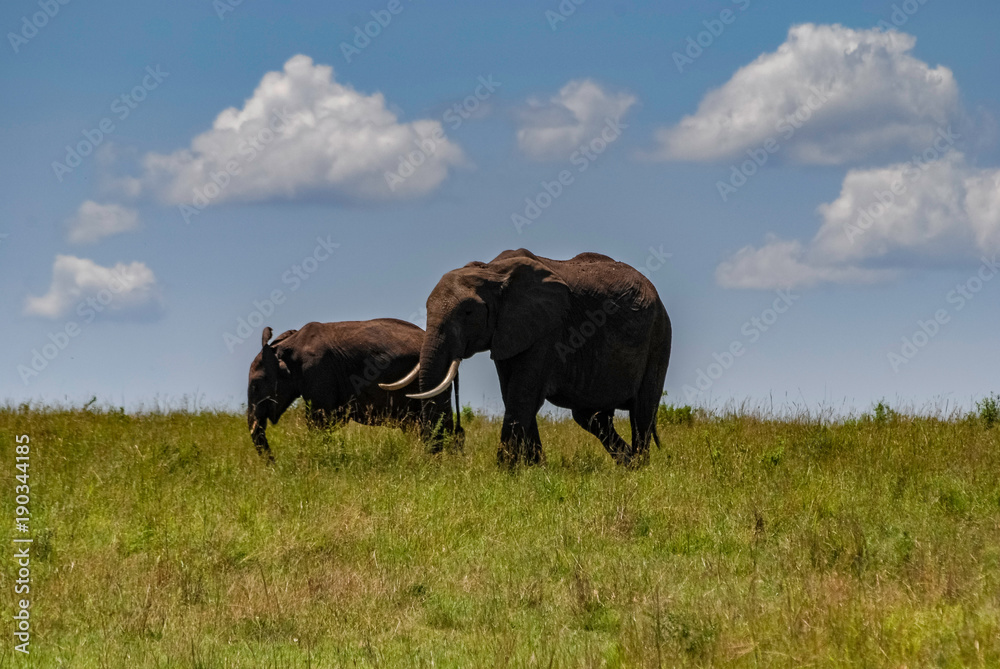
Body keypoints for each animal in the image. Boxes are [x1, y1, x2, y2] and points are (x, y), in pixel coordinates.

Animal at [382, 248, 672, 468]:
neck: (492, 271)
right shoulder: (507, 331)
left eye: (468, 312)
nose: (440, 459)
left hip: (659, 337)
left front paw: (505, 472)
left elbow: (522, 394)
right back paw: (627, 465)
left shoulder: (548, 329)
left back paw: (640, 469)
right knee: (592, 417)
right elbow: (513, 392)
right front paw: (535, 469)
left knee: (642, 412)